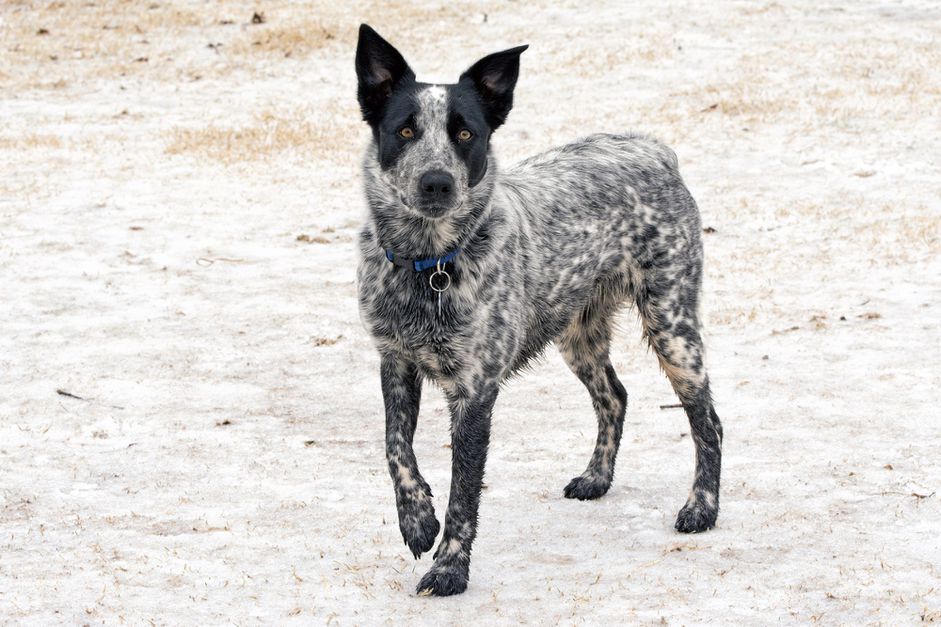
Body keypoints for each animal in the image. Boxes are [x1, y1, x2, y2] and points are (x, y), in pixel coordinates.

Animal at [356, 24, 724, 600]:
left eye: (466, 134)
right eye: (405, 130)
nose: (436, 182)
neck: (429, 264)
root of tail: (654, 148)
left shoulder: (476, 390)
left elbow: (464, 492)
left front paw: (449, 568)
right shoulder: (393, 360)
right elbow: (396, 448)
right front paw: (416, 521)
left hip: (672, 326)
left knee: (707, 419)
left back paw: (701, 508)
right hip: (578, 333)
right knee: (614, 396)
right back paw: (596, 479)